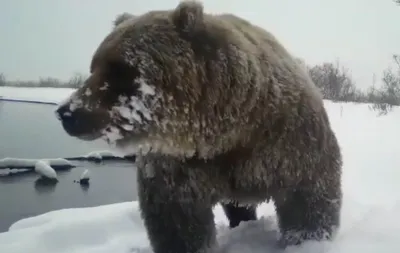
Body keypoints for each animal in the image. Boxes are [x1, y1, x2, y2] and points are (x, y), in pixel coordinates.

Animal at [54, 0, 342, 252]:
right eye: (94, 66)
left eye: (120, 68)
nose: (67, 112)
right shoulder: (179, 165)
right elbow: (177, 219)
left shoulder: (284, 140)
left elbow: (308, 196)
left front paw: (306, 240)